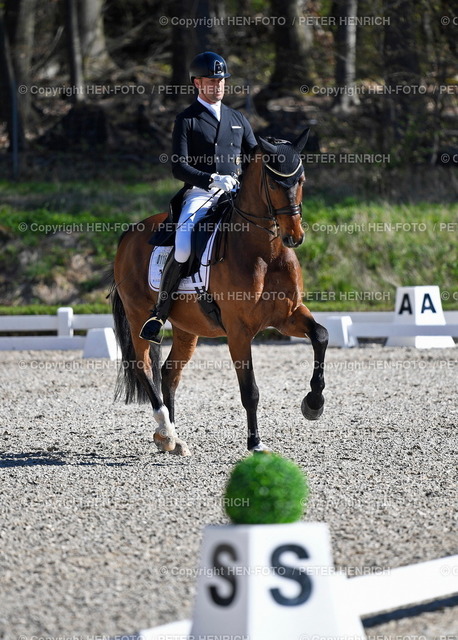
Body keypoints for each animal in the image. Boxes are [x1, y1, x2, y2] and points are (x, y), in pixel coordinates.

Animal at [112, 130, 330, 458]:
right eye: (273, 183)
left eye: (301, 179)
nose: (295, 236)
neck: (266, 252)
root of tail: (129, 232)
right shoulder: (239, 331)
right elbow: (250, 390)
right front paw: (256, 443)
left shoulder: (288, 316)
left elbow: (321, 335)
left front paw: (313, 403)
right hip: (139, 316)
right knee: (145, 367)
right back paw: (165, 431)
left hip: (187, 327)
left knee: (169, 373)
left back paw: (173, 439)